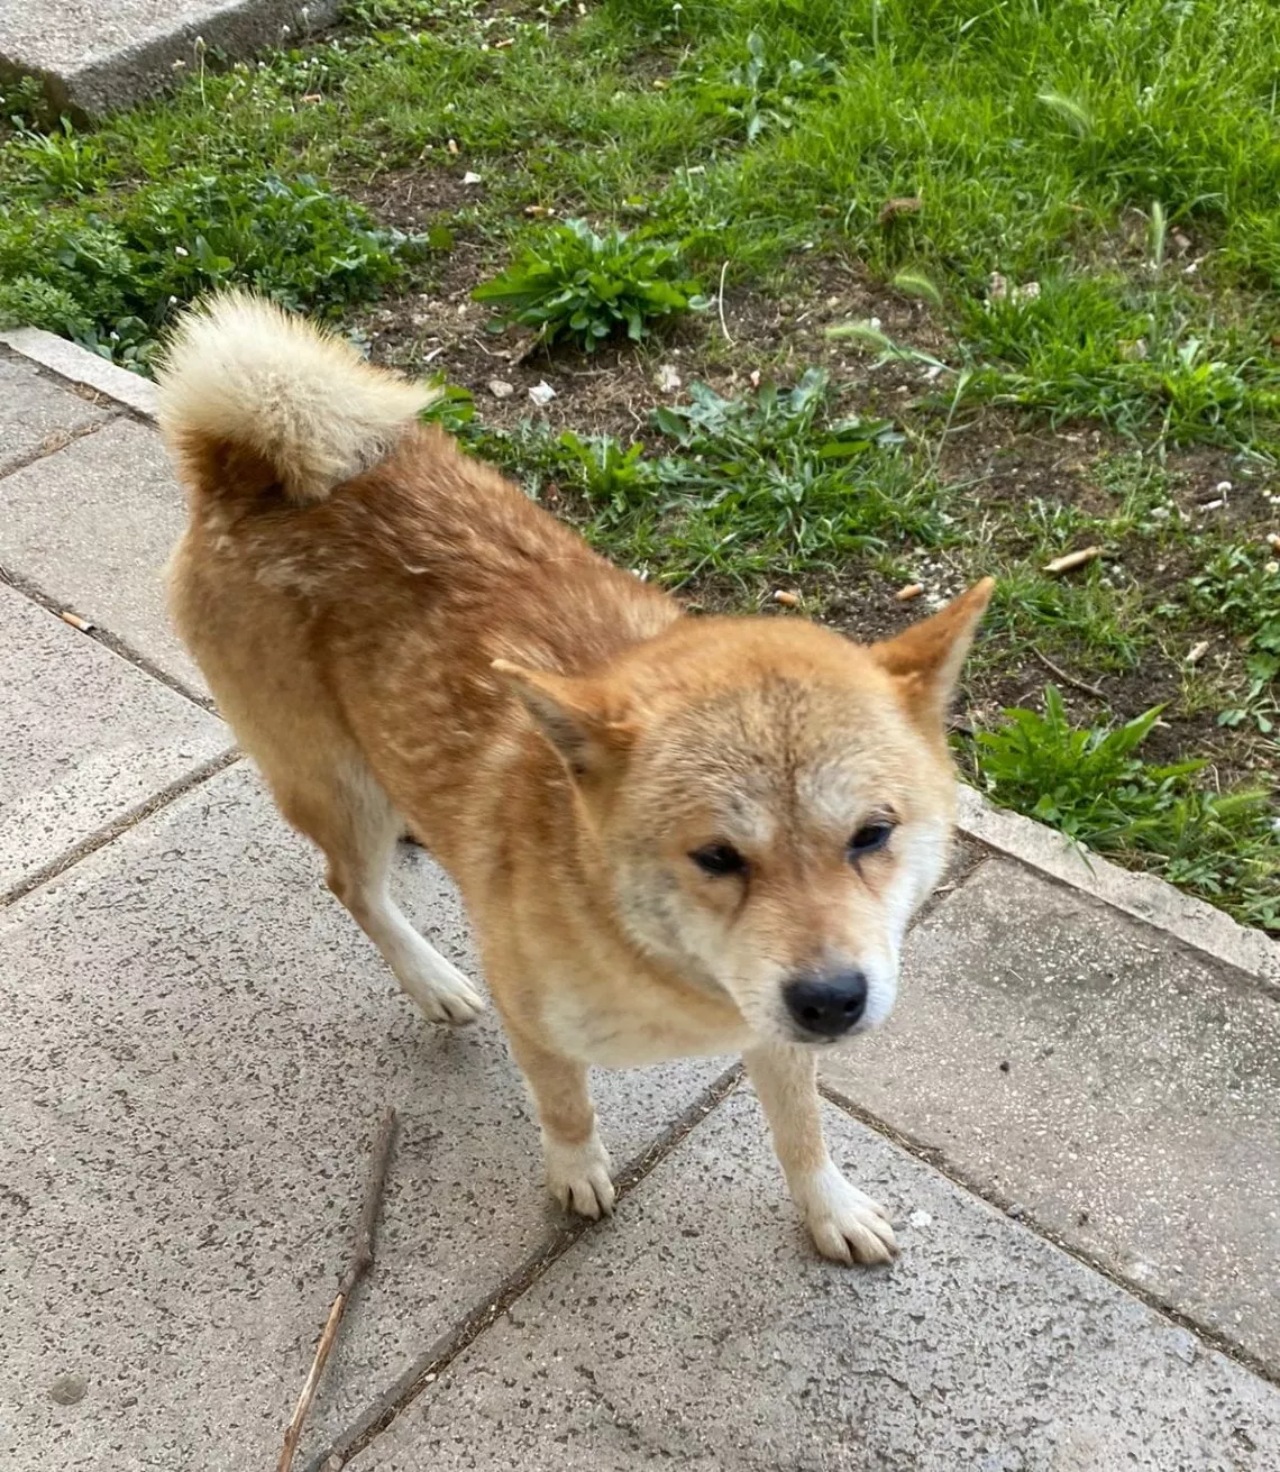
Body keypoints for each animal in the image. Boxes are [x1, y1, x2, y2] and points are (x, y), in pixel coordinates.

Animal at [160, 289, 994, 1265]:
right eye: (717, 857)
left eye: (872, 834)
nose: (832, 1001)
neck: (660, 965)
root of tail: (244, 470)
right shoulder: (538, 1018)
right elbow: (566, 1108)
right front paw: (576, 1175)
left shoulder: (773, 1025)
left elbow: (802, 1132)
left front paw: (829, 1209)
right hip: (332, 786)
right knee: (352, 887)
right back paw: (432, 978)